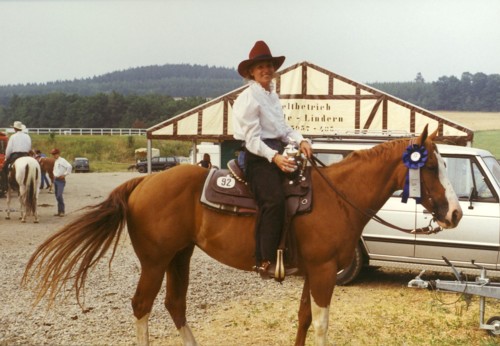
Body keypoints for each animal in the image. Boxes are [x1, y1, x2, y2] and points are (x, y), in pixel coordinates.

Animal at [22, 127, 460, 346]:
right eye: (430, 166)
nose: (455, 212)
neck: (339, 197)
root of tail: (141, 183)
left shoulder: (313, 273)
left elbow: (303, 320)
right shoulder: (322, 273)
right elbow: (320, 325)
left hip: (180, 256)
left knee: (174, 305)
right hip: (155, 260)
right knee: (142, 306)